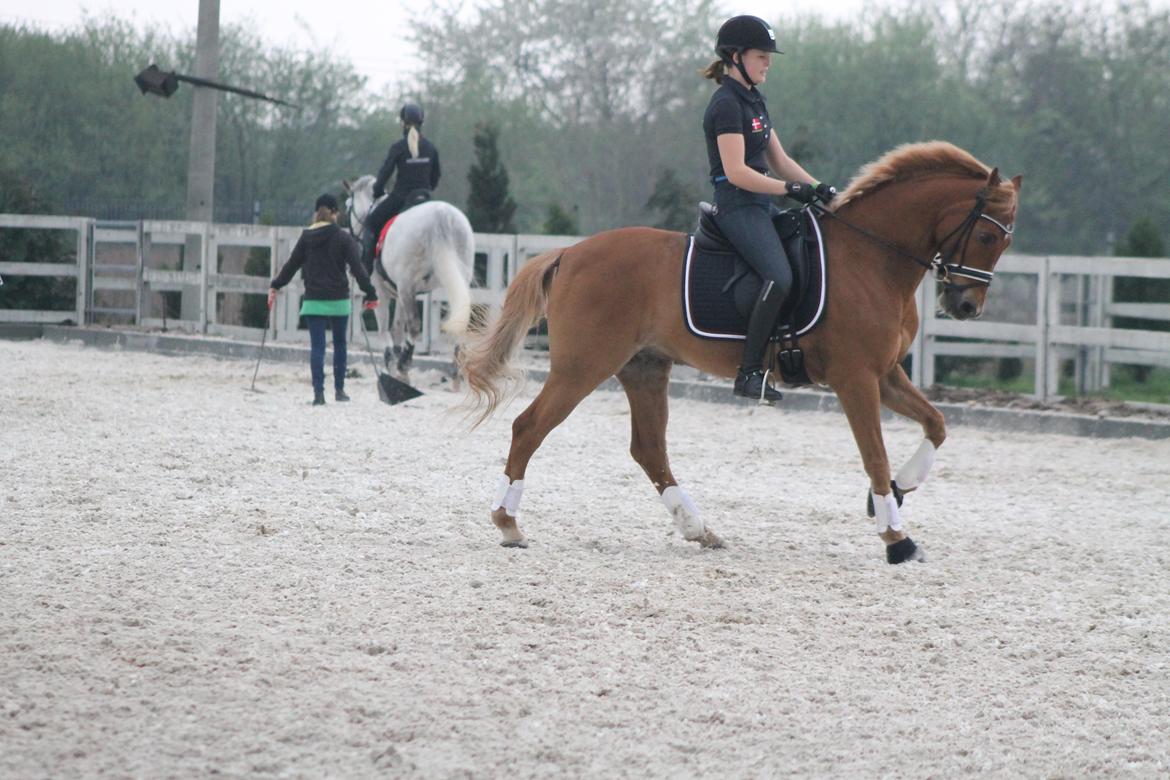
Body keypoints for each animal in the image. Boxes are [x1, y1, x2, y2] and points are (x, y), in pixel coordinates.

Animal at [460, 140, 1020, 563]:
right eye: (987, 235)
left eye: (1005, 242)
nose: (965, 306)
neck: (872, 258)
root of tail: (571, 252)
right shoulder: (856, 378)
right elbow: (875, 454)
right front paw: (896, 539)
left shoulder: (885, 375)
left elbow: (937, 424)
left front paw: (899, 492)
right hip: (583, 367)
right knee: (529, 428)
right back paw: (508, 524)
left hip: (644, 368)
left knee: (649, 449)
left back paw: (698, 529)